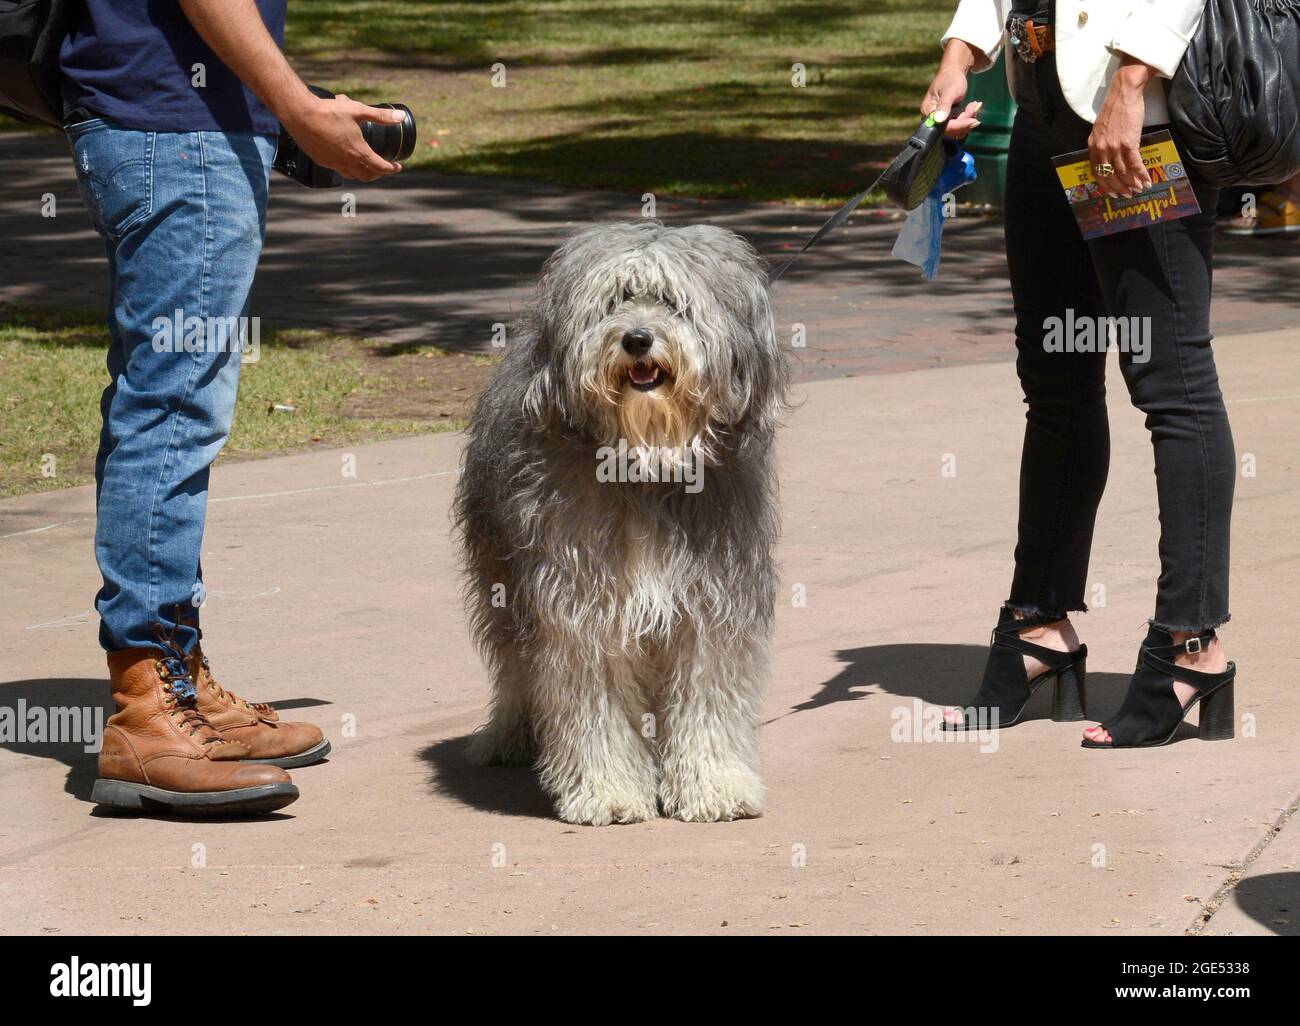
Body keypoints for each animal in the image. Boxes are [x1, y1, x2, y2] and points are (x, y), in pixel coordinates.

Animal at [452, 222, 785, 827]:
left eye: (673, 302)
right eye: (614, 301)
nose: (636, 340)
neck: (644, 465)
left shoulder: (711, 606)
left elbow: (708, 697)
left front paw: (714, 786)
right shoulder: (583, 608)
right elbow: (593, 700)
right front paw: (608, 791)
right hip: (503, 580)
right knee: (515, 666)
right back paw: (510, 737)